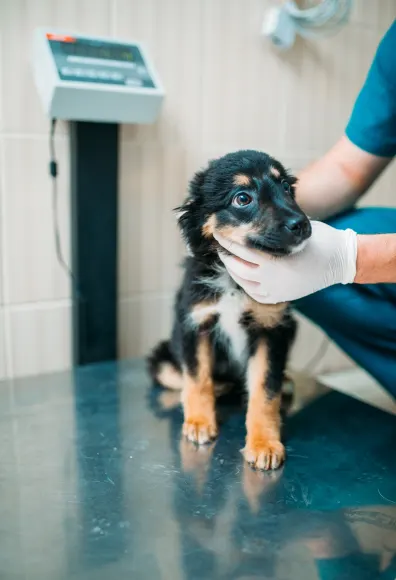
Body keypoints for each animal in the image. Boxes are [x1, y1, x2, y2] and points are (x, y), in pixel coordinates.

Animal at [147, 151, 310, 472]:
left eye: (286, 187)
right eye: (242, 198)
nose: (302, 225)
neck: (234, 283)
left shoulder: (272, 329)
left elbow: (265, 391)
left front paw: (264, 443)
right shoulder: (195, 323)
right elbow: (198, 379)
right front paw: (199, 422)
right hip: (163, 360)